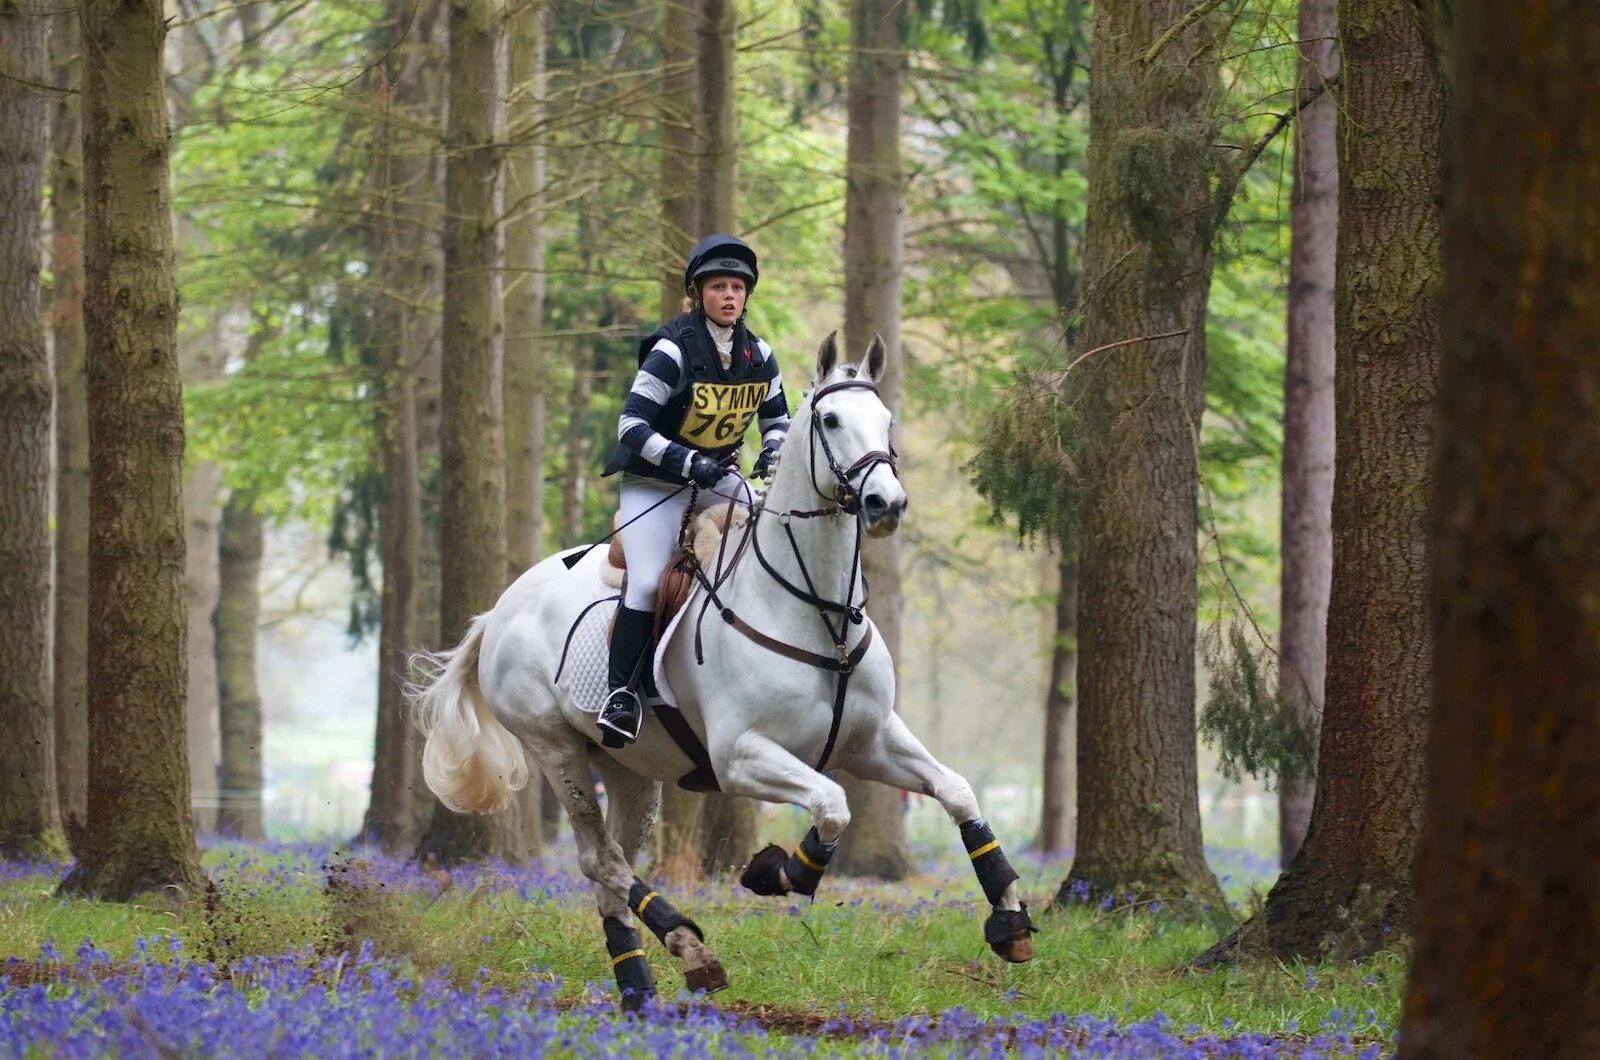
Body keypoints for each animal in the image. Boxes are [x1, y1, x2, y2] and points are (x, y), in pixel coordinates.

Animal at [412, 333, 1036, 1011]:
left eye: (888, 420)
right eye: (829, 419)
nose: (885, 503)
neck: (819, 614)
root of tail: (499, 610)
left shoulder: (871, 741)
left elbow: (957, 791)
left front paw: (1010, 920)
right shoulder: (740, 756)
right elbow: (833, 804)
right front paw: (777, 871)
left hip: (629, 770)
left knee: (613, 861)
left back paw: (644, 981)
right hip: (556, 750)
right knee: (598, 858)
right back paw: (686, 945)